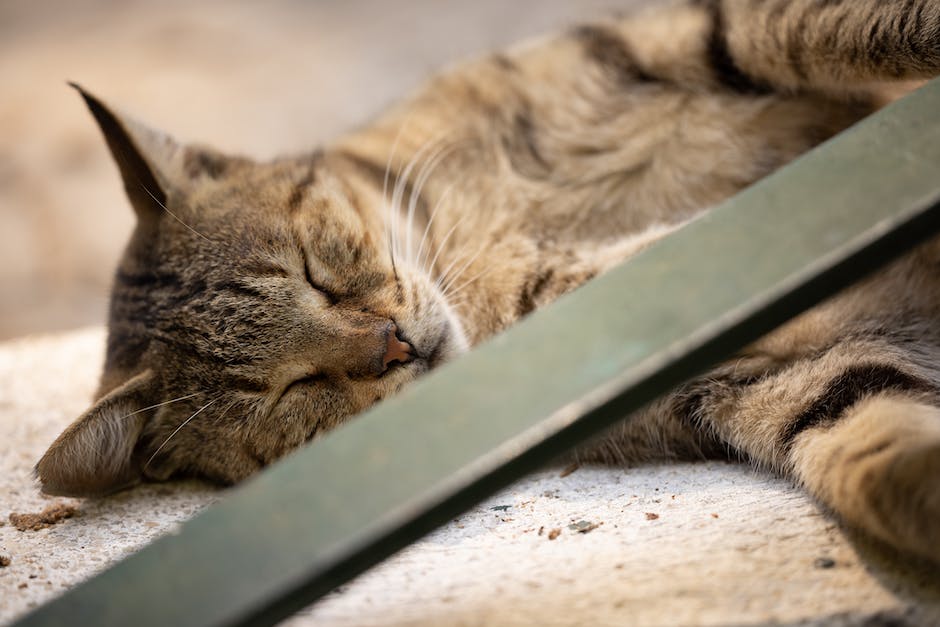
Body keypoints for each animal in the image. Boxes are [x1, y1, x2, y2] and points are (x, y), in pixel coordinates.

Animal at [35, 0, 940, 568]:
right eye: (293, 388)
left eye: (314, 272)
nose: (391, 346)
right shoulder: (754, 379)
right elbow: (871, 442)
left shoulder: (687, 36)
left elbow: (836, 26)